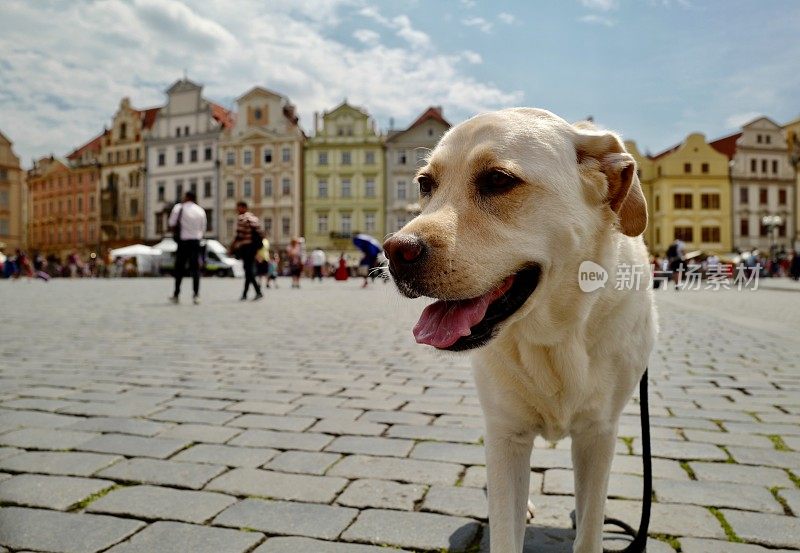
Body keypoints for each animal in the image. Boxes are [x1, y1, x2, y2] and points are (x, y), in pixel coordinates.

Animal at [382, 109, 656, 552]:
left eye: (498, 180)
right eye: (425, 184)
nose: (394, 251)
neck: (554, 336)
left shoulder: (599, 433)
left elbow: (591, 529)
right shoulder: (506, 434)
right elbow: (506, 530)